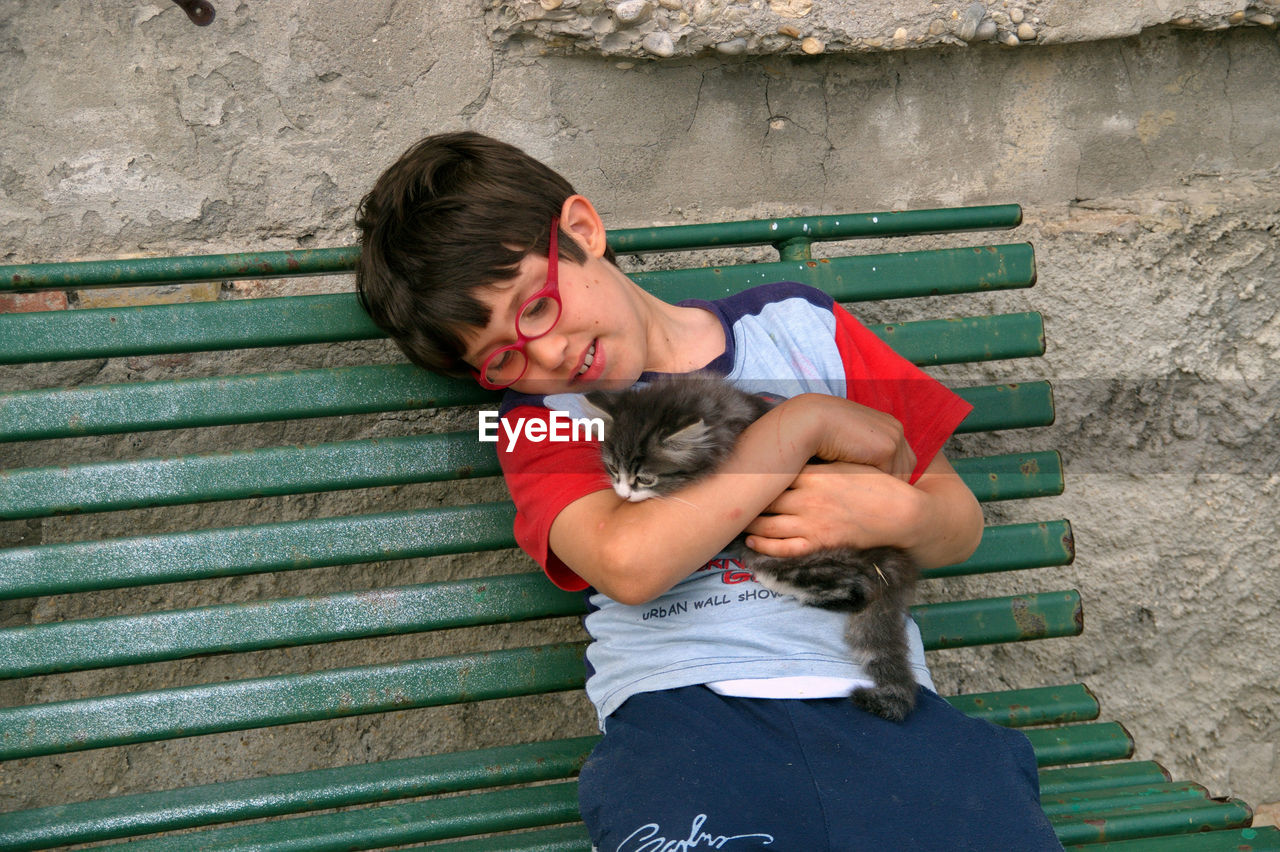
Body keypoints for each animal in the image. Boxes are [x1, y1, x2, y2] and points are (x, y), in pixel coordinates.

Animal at [586, 370, 926, 716]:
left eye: (645, 479)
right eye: (613, 468)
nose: (623, 494)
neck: (714, 414)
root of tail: (891, 563)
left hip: (786, 555)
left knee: (853, 591)